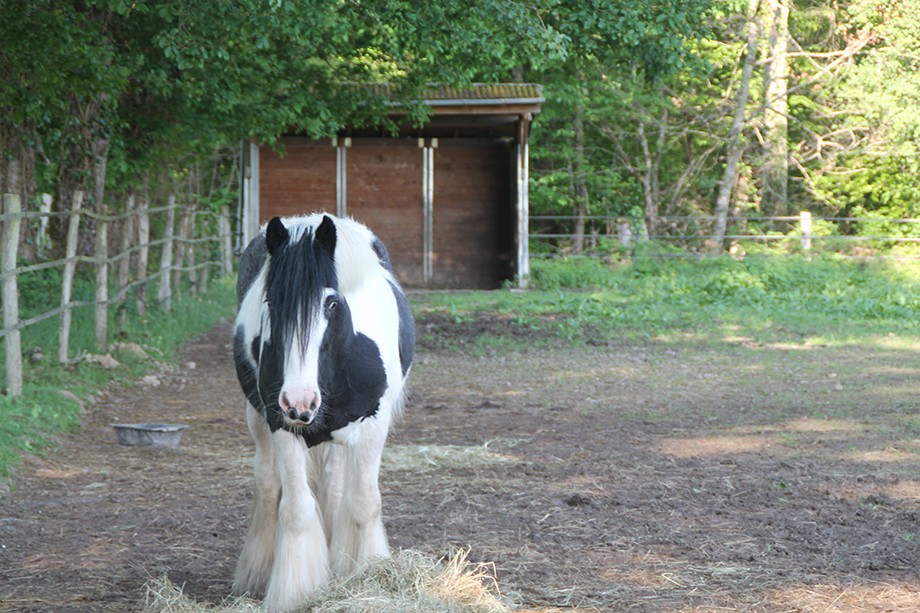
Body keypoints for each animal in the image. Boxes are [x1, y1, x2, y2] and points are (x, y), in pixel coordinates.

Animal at [231, 213, 415, 612]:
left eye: (332, 304)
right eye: (271, 301)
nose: (300, 403)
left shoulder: (373, 426)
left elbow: (362, 503)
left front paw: (363, 579)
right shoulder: (280, 425)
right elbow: (297, 511)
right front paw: (293, 592)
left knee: (334, 485)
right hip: (258, 420)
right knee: (267, 483)